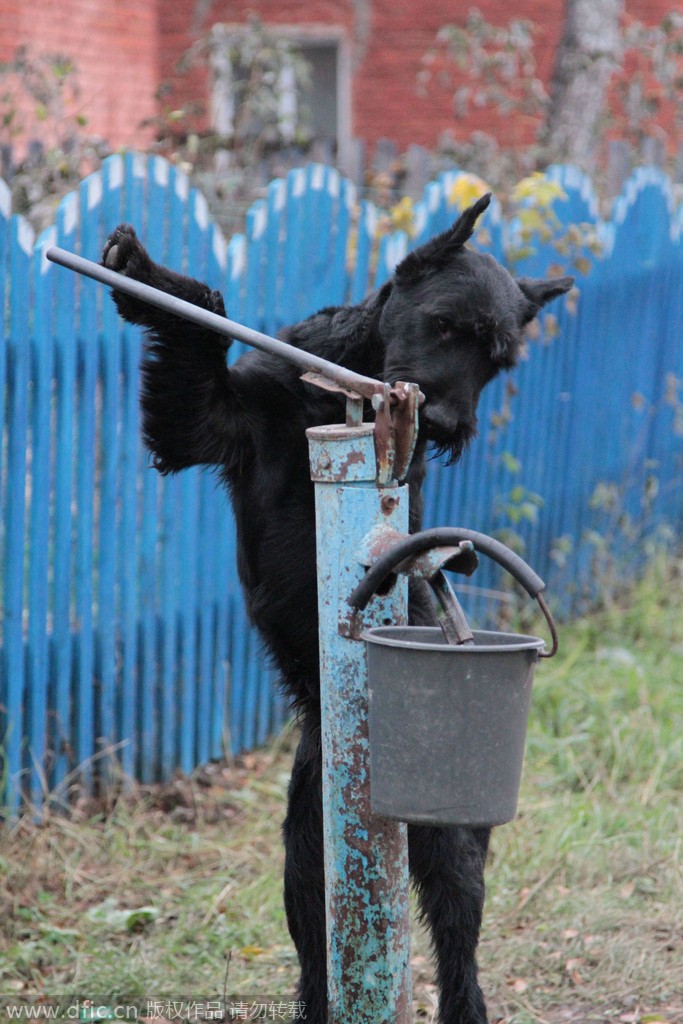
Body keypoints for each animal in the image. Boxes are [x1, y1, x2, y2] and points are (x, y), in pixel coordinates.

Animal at [101, 193, 573, 1024]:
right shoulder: (213, 420)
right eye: (445, 324)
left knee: (456, 934)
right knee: (319, 941)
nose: (444, 424)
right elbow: (202, 318)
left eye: (499, 360)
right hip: (304, 843)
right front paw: (144, 274)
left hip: (442, 844)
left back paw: (463, 1004)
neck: (337, 385)